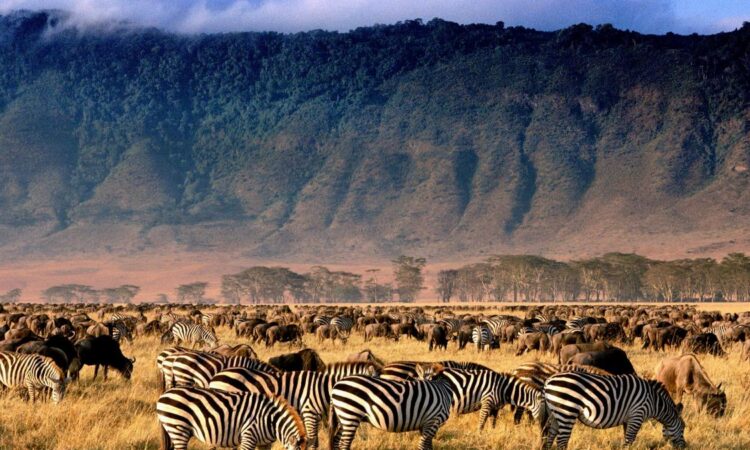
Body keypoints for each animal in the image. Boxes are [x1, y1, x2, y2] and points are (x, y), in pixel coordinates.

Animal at [548, 370, 688, 448]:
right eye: (683, 427)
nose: (685, 446)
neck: (654, 401)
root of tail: (549, 380)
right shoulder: (637, 415)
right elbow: (629, 440)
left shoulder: (629, 419)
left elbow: (627, 439)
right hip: (567, 411)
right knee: (561, 442)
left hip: (556, 414)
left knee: (550, 437)